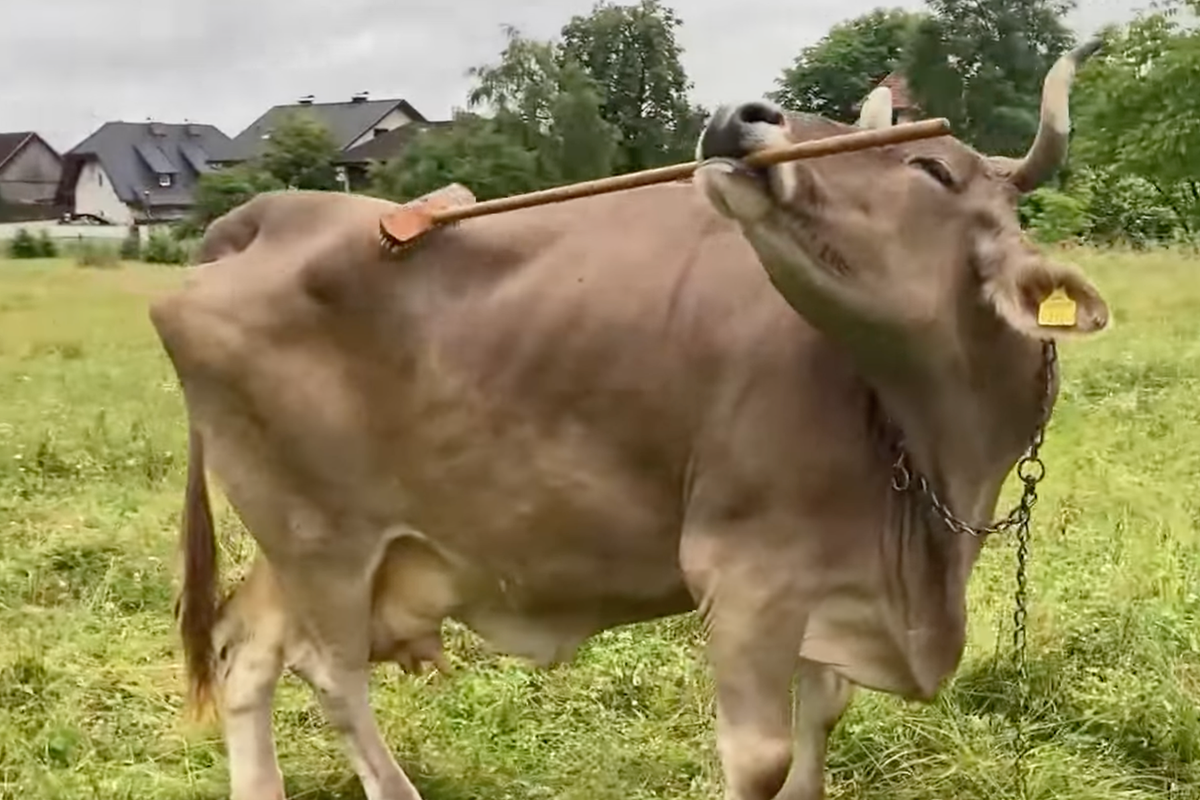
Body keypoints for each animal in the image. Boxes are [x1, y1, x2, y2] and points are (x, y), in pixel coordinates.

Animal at [147, 39, 1107, 800]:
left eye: (930, 168)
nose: (739, 116)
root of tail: (270, 211)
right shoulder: (745, 574)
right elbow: (761, 759)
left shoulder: (829, 586)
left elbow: (821, 723)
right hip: (322, 540)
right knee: (332, 675)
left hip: (306, 537)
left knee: (246, 651)